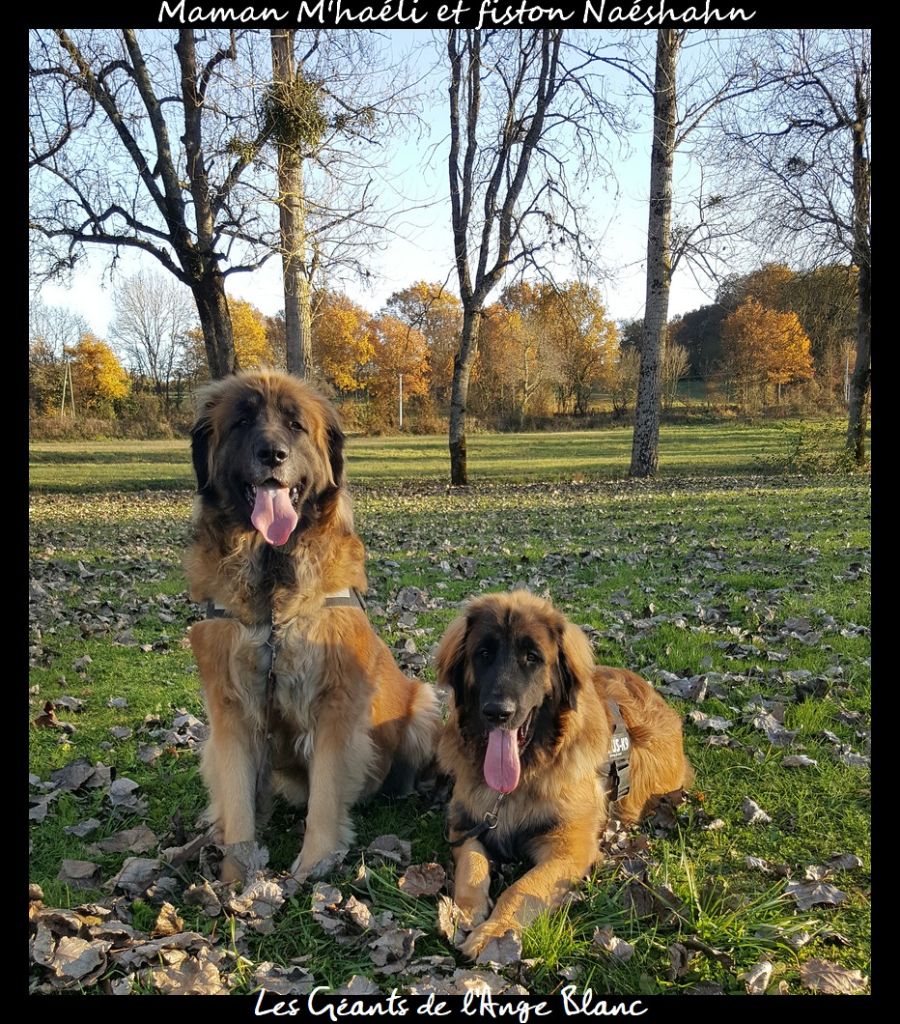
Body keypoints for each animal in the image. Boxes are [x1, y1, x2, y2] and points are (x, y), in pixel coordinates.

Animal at [185, 370, 440, 880]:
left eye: (295, 425)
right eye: (242, 421)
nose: (273, 454)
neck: (272, 592)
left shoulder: (335, 705)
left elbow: (325, 793)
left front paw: (315, 862)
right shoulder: (231, 710)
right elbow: (239, 799)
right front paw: (236, 874)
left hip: (424, 704)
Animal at [434, 593, 688, 958]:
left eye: (532, 657)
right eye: (483, 654)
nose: (498, 712)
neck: (523, 777)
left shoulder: (570, 847)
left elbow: (521, 888)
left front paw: (494, 932)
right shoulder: (465, 825)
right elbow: (472, 865)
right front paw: (464, 910)